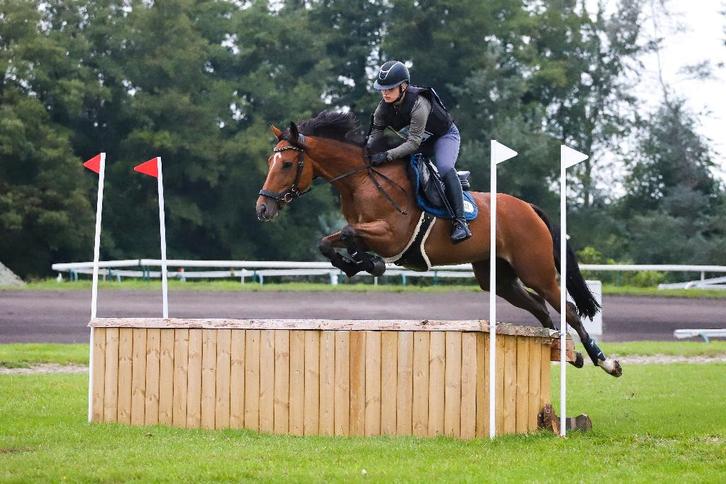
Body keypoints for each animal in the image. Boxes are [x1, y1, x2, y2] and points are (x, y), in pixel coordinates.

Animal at [255, 111, 622, 377]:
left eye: (286, 164)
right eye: (270, 163)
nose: (262, 209)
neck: (362, 180)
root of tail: (529, 208)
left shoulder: (392, 236)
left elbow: (347, 233)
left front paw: (368, 262)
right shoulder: (367, 231)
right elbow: (330, 241)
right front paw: (358, 263)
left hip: (537, 270)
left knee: (567, 309)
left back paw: (604, 362)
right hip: (497, 277)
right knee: (540, 308)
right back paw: (563, 352)